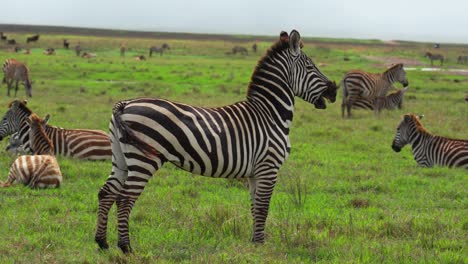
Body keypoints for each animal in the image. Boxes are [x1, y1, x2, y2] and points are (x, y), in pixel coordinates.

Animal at [95, 29, 338, 254]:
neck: (270, 114)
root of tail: (124, 104)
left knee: (107, 193)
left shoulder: (254, 171)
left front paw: (254, 242)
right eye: (311, 67)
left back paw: (102, 243)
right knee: (125, 199)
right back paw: (126, 247)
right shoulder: (269, 166)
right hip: (144, 159)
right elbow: (263, 207)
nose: (334, 91)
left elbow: (254, 206)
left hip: (121, 157)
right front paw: (261, 245)